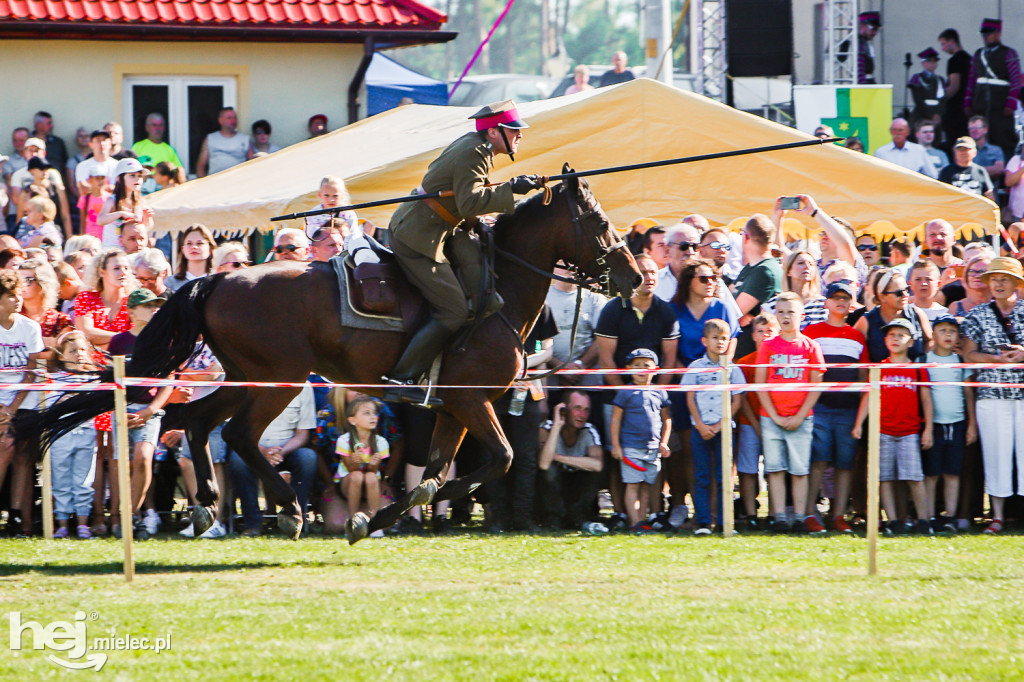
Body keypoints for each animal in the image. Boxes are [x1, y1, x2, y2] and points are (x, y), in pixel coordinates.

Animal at [25, 169, 638, 540]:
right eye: (600, 222)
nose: (635, 276)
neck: (501, 288)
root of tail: (218, 279)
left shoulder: (451, 409)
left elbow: (438, 470)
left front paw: (379, 514)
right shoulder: (471, 403)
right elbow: (495, 461)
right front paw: (378, 514)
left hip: (247, 376)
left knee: (197, 421)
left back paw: (208, 505)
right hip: (281, 380)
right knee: (238, 435)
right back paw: (289, 509)